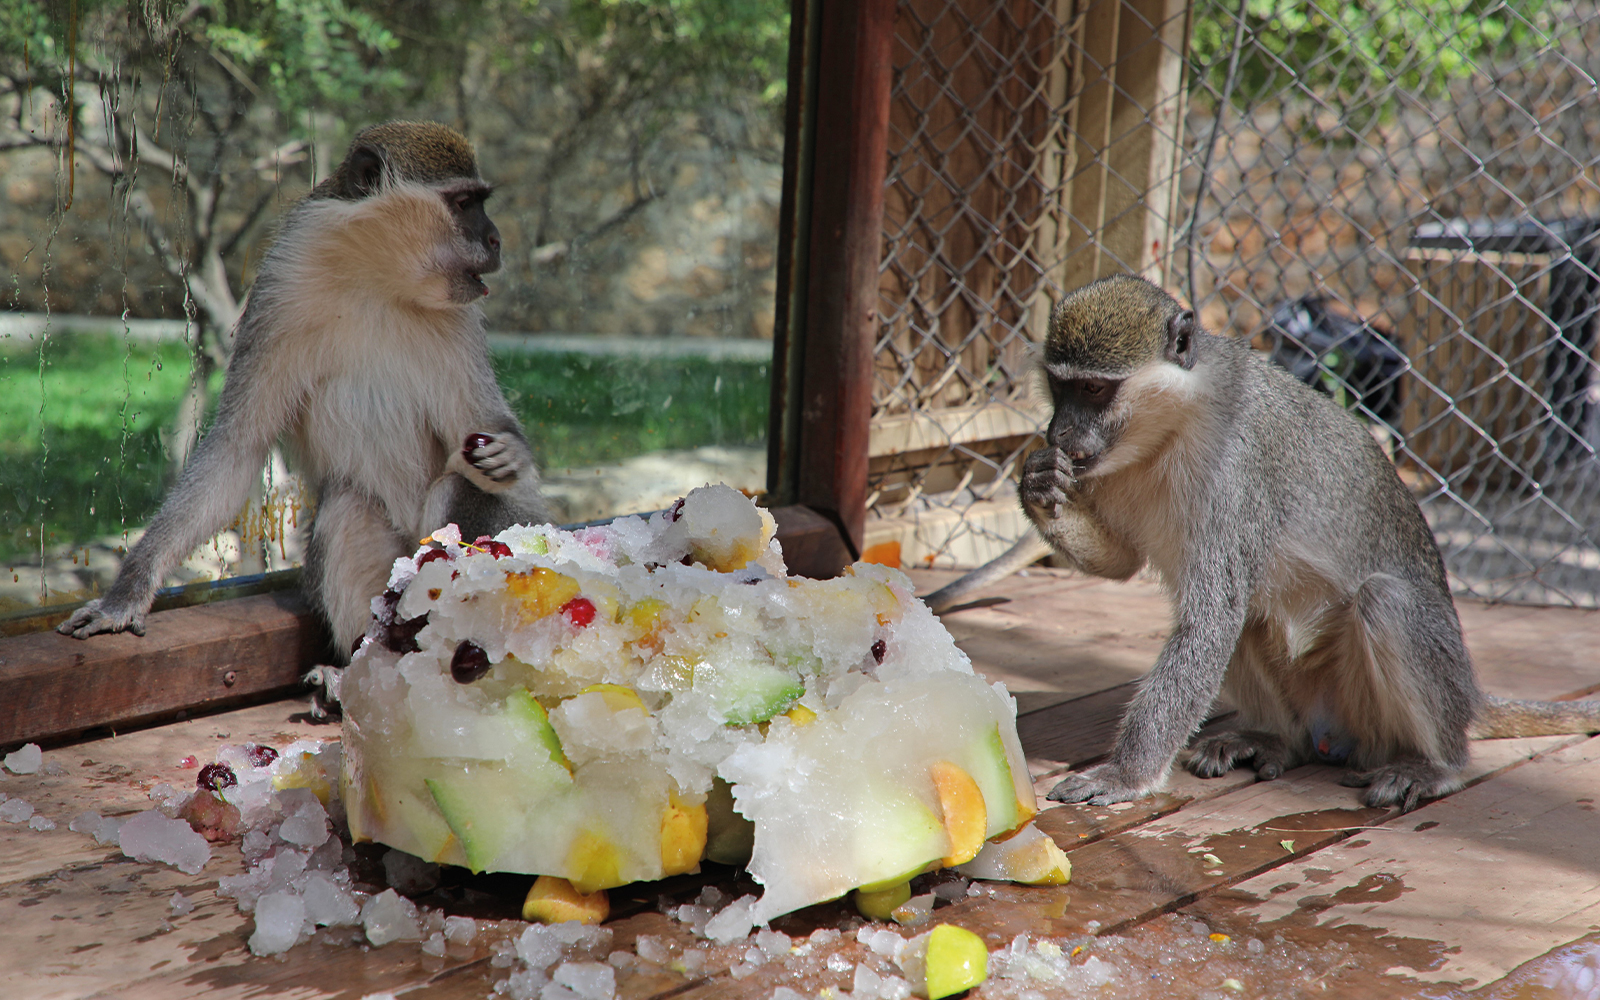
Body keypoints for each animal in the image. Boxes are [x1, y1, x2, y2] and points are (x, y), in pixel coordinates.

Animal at [58, 120, 550, 659]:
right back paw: (354, 665)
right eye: (464, 203)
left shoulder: (461, 321)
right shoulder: (280, 292)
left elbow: (483, 429)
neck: (376, 280)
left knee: (459, 486)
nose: (497, 239)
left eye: (479, 201)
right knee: (347, 508)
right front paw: (128, 592)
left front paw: (511, 451)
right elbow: (237, 450)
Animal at [1024, 273, 1600, 812]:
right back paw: (1275, 739)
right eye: (1059, 385)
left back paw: (1439, 765)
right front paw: (1038, 484)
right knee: (1255, 623)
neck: (1169, 427)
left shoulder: (1234, 466)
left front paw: (1125, 775)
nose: (1058, 433)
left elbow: (1210, 619)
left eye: (1094, 390)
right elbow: (1122, 564)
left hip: (1379, 708)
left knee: (1382, 601)